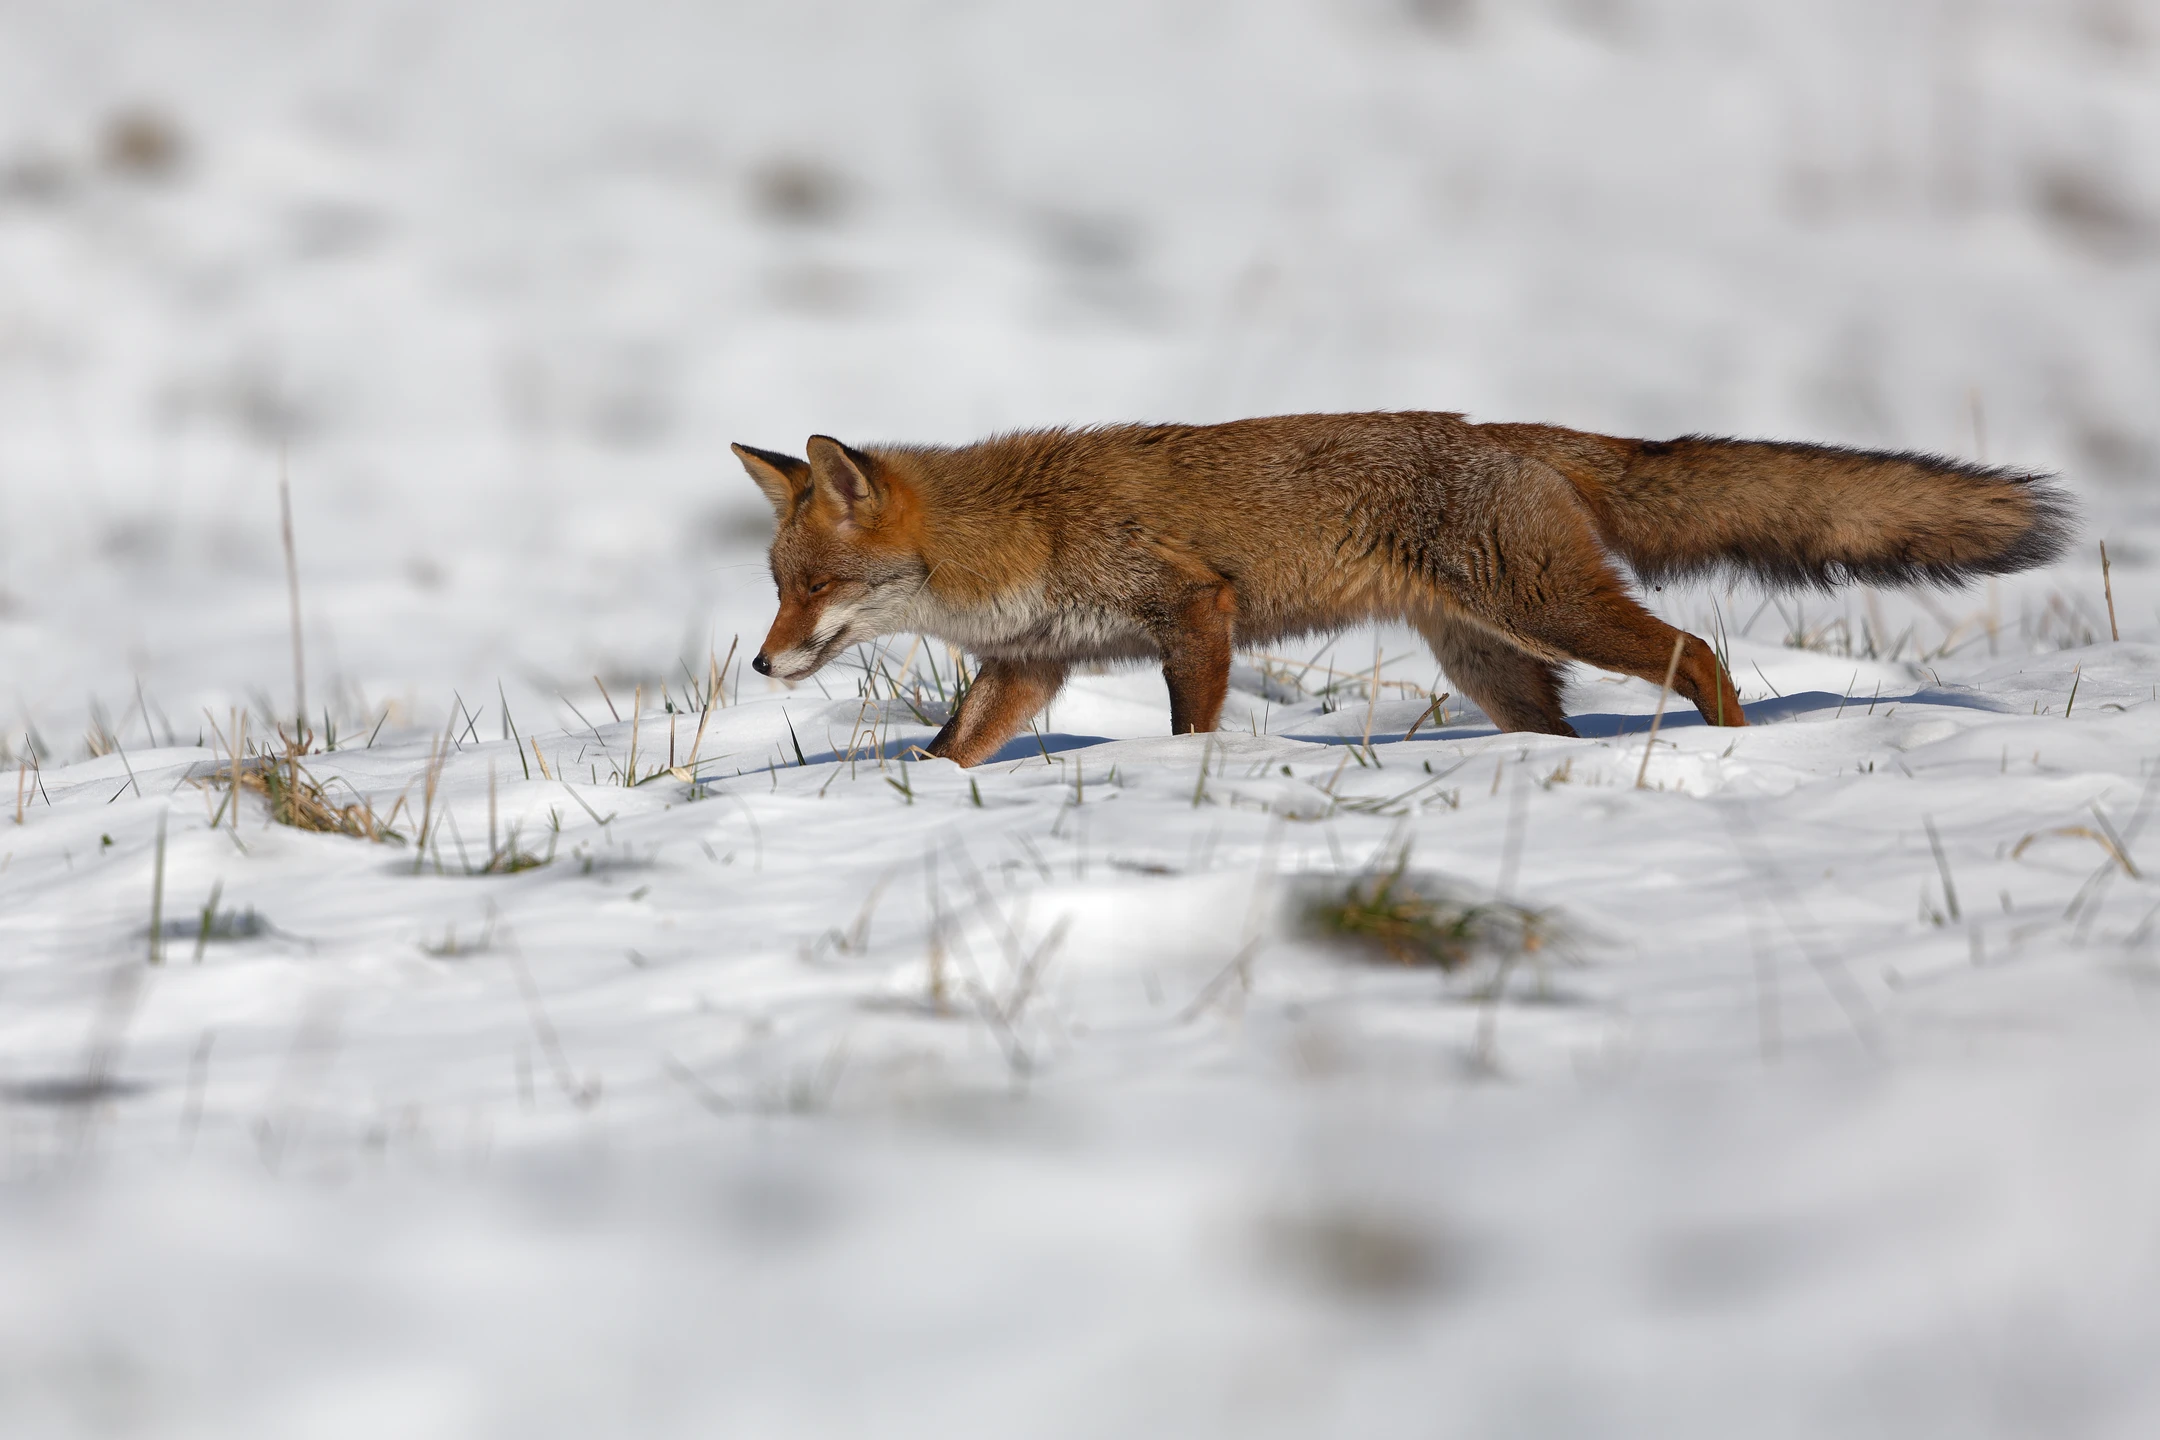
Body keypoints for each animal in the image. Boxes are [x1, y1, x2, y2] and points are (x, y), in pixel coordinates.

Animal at [732, 413, 2071, 768]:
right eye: (779, 589)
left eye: (815, 588)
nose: (760, 662)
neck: (1015, 535)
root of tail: (1514, 435)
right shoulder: (1031, 665)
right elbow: (950, 752)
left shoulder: (1196, 610)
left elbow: (1193, 726)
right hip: (1488, 660)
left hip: (1548, 610)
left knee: (1698, 650)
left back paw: (1727, 750)